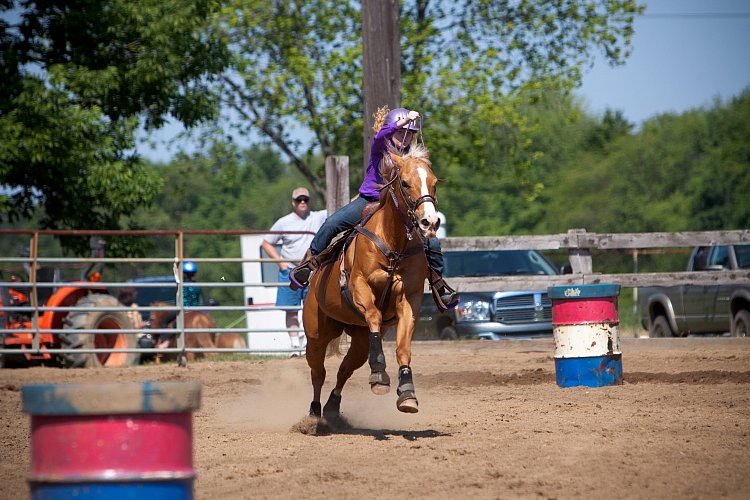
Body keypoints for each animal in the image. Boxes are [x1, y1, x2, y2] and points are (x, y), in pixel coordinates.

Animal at [302, 145, 440, 418]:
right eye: (405, 183)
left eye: (434, 183)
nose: (430, 222)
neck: (394, 244)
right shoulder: (359, 285)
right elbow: (375, 314)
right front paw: (378, 371)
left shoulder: (410, 299)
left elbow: (403, 348)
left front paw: (407, 393)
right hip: (316, 334)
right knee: (318, 372)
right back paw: (314, 412)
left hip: (360, 339)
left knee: (344, 370)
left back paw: (332, 407)